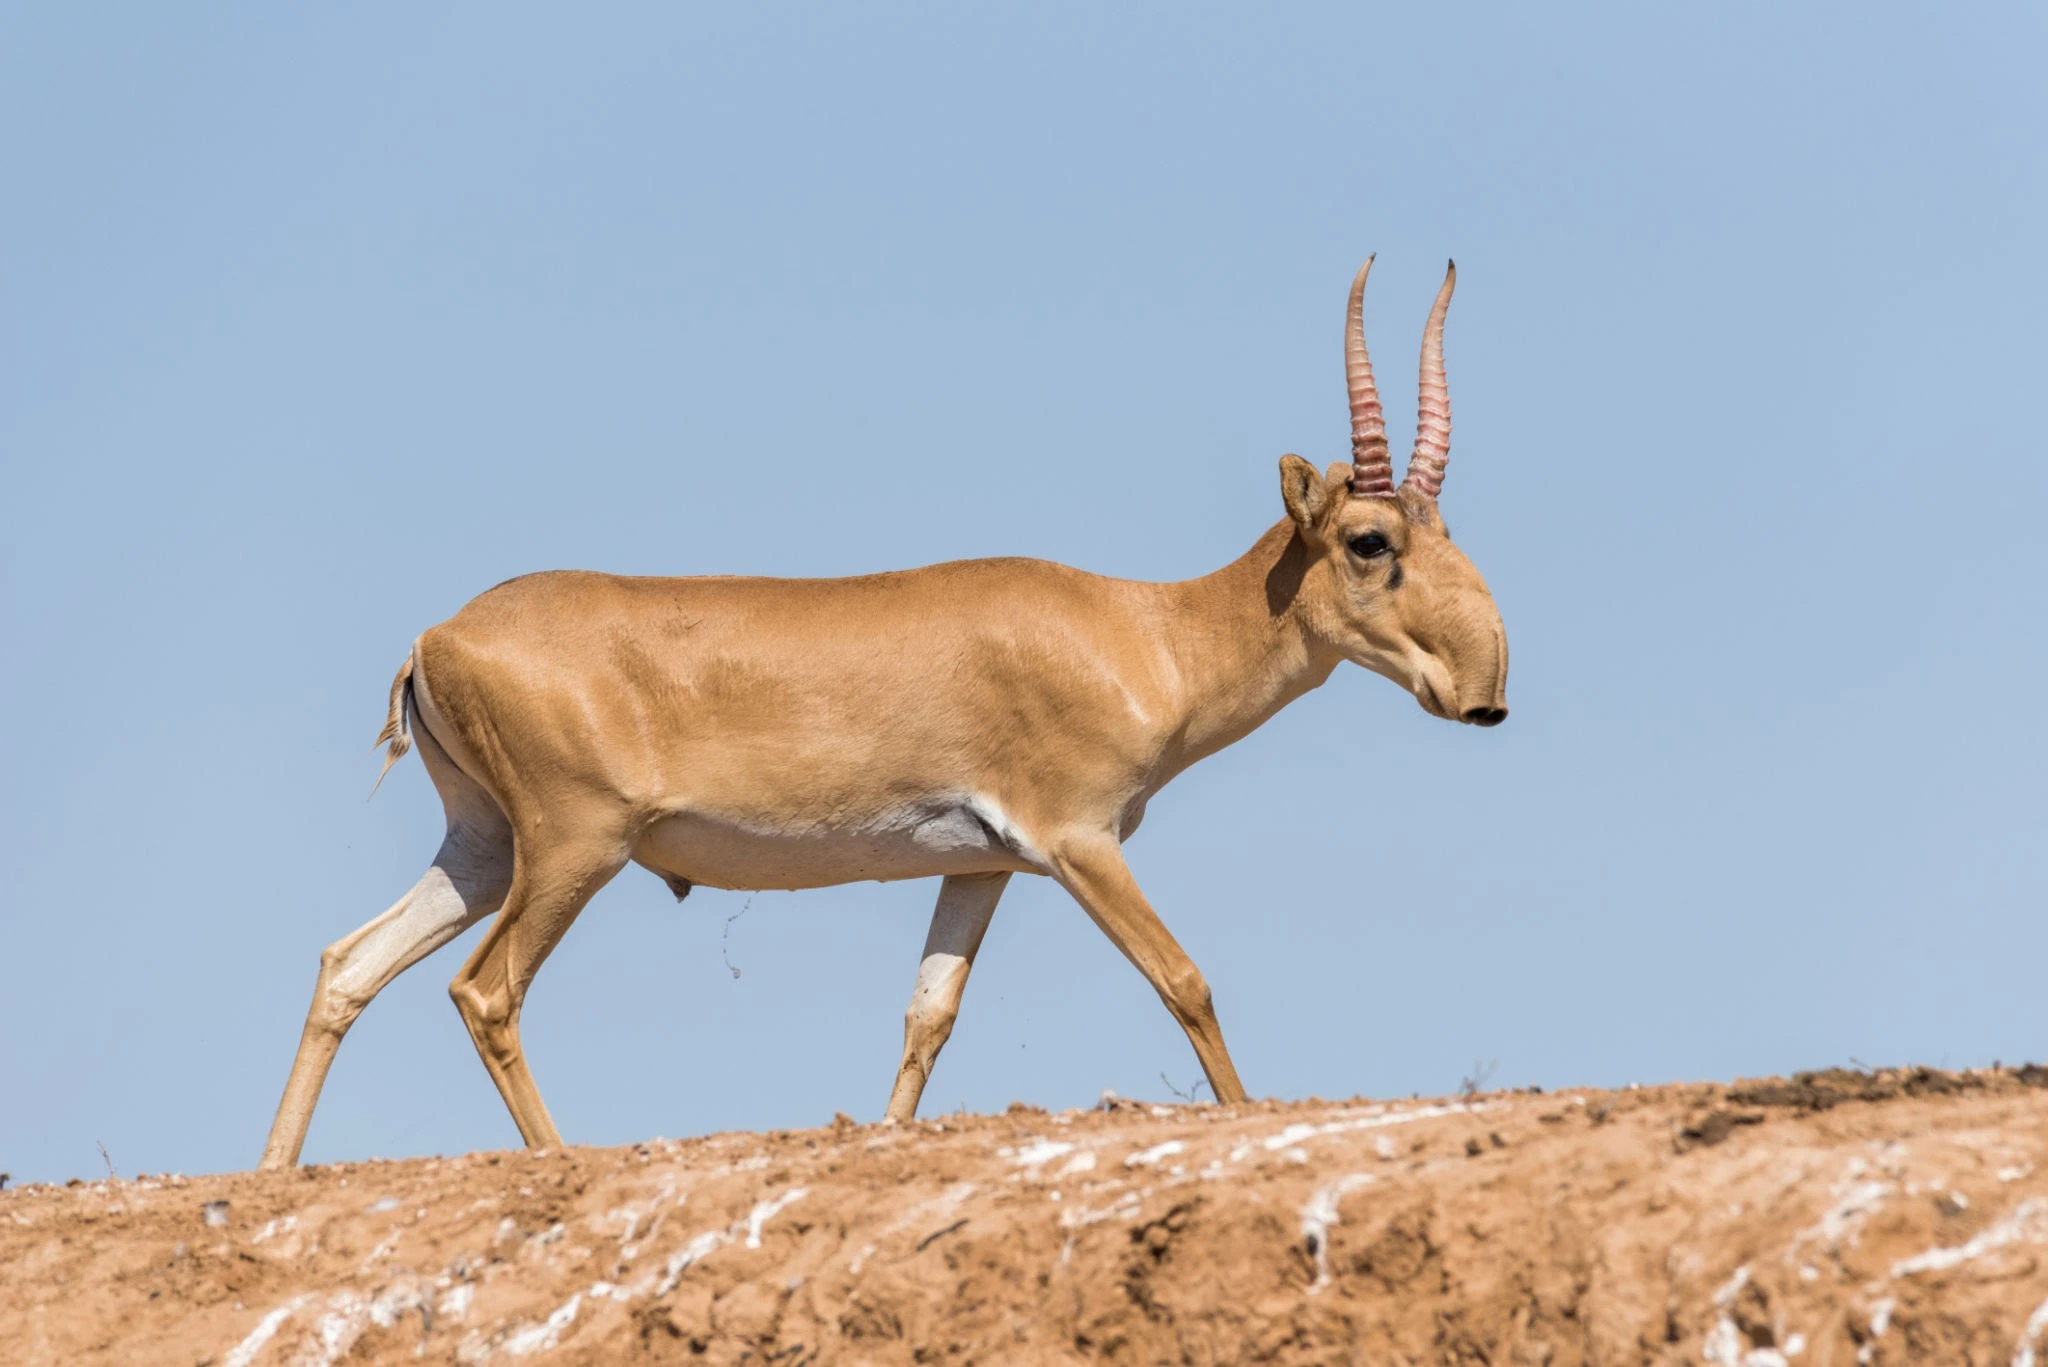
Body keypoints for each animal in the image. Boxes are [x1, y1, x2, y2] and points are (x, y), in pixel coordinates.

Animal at [260, 254, 1507, 1164]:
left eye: (1444, 531)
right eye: (1369, 539)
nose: (1484, 691)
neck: (1141, 630)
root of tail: (436, 636)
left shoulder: (981, 864)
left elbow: (925, 1018)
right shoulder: (1080, 842)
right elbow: (1184, 979)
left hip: (480, 848)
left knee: (348, 964)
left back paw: (271, 1170)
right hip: (572, 850)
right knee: (483, 990)